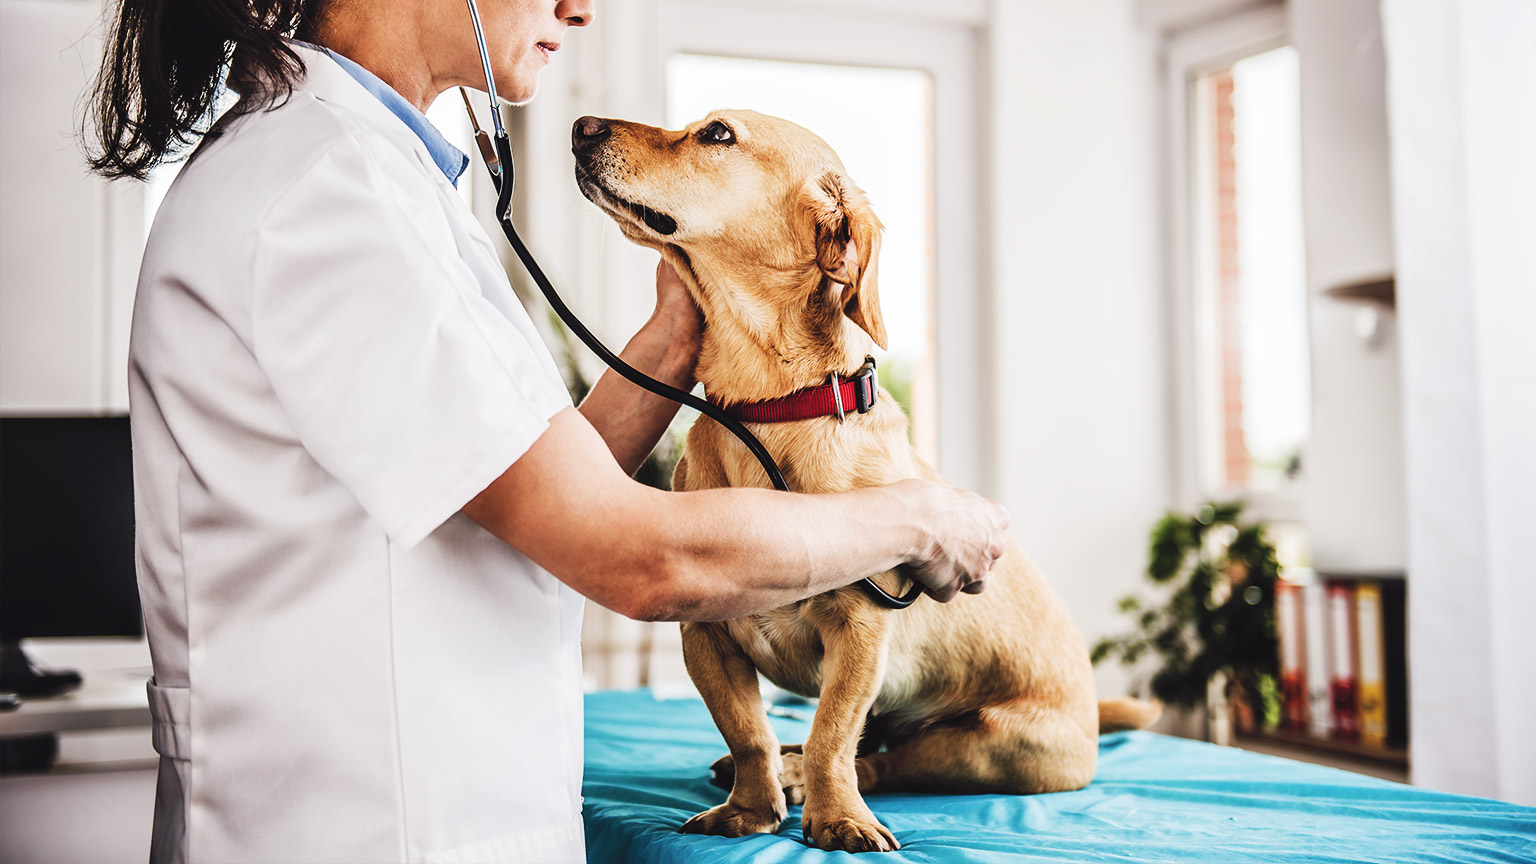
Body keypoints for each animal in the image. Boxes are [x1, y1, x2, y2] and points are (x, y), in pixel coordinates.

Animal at [571, 110, 1155, 848]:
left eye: (718, 134)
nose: (579, 126)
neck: (769, 410)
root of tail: (1091, 711)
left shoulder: (861, 634)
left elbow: (831, 734)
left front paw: (835, 818)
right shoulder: (704, 637)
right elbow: (747, 733)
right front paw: (750, 810)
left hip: (995, 746)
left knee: (880, 760)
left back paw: (815, 781)